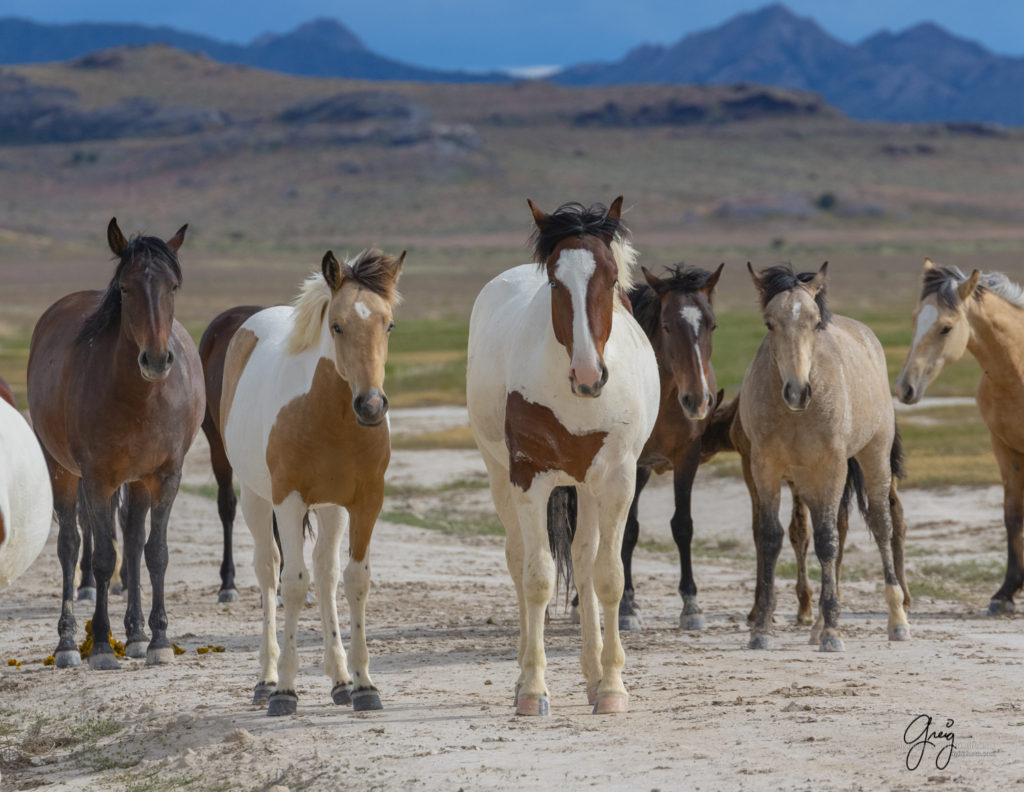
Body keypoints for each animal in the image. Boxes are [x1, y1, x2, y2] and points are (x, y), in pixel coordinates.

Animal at [468, 199, 659, 717]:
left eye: (611, 280)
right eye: (555, 282)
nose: (589, 375)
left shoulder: (618, 480)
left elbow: (608, 576)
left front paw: (611, 687)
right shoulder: (529, 476)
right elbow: (537, 577)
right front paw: (533, 689)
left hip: (588, 488)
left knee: (585, 560)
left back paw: (593, 676)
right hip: (501, 476)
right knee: (519, 559)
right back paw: (522, 674)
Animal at [897, 259, 1024, 610]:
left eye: (946, 327)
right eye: (915, 318)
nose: (904, 388)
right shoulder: (1003, 446)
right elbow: (1012, 515)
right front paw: (1005, 593)